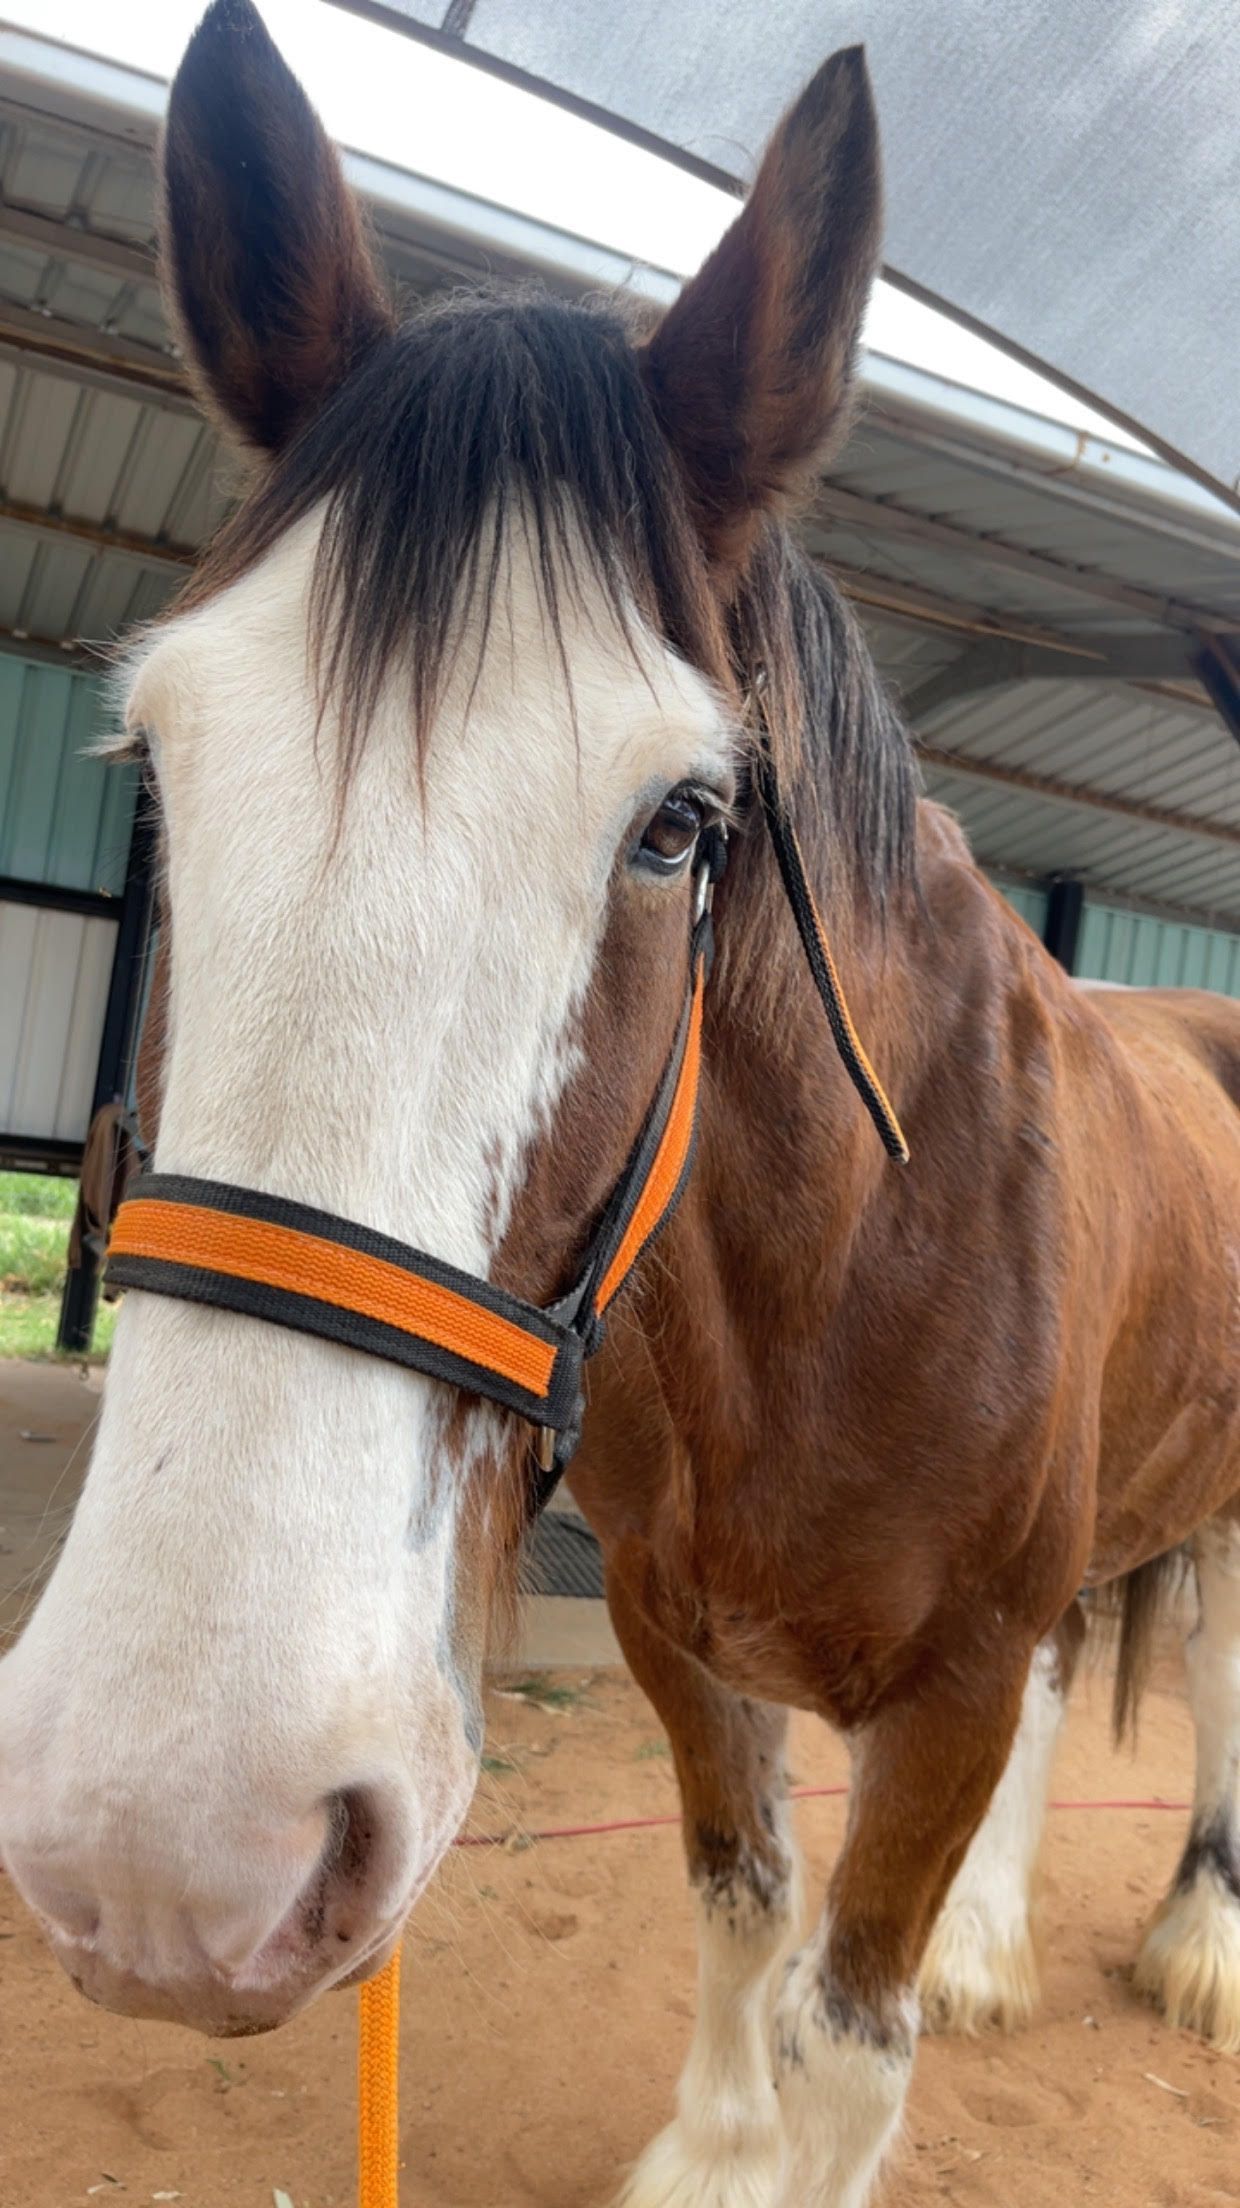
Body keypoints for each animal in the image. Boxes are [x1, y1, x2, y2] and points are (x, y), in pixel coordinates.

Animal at [1, 5, 1238, 2204]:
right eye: (155, 759)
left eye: (679, 823)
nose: (168, 1845)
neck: (833, 1289)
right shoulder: (681, 1638)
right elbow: (744, 1909)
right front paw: (712, 2150)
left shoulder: (938, 1695)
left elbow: (852, 2038)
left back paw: (1194, 1942)